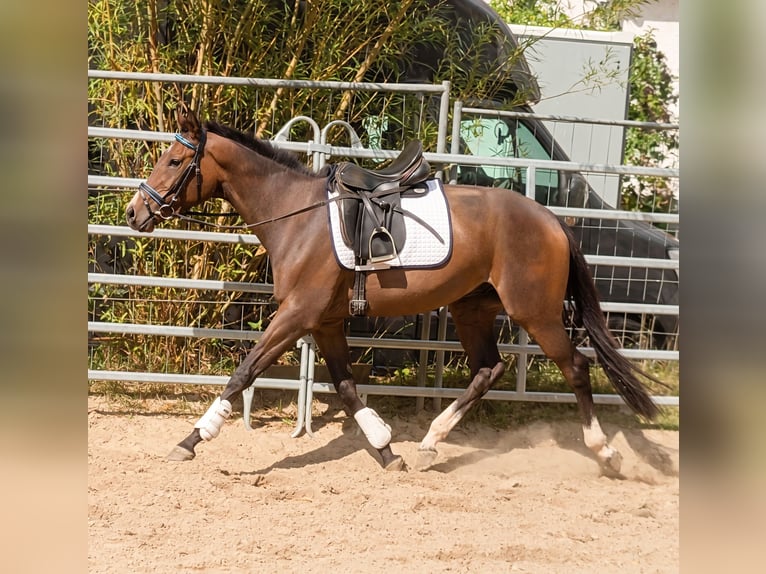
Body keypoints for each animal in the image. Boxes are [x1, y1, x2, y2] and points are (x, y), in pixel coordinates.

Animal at [125, 108, 662, 474]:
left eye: (174, 160)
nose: (135, 212)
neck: (298, 219)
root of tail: (552, 220)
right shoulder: (325, 322)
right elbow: (345, 387)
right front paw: (386, 450)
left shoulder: (296, 316)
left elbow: (244, 373)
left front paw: (191, 440)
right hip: (472, 310)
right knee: (488, 370)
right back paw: (429, 441)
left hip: (537, 313)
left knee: (576, 367)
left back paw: (605, 452)